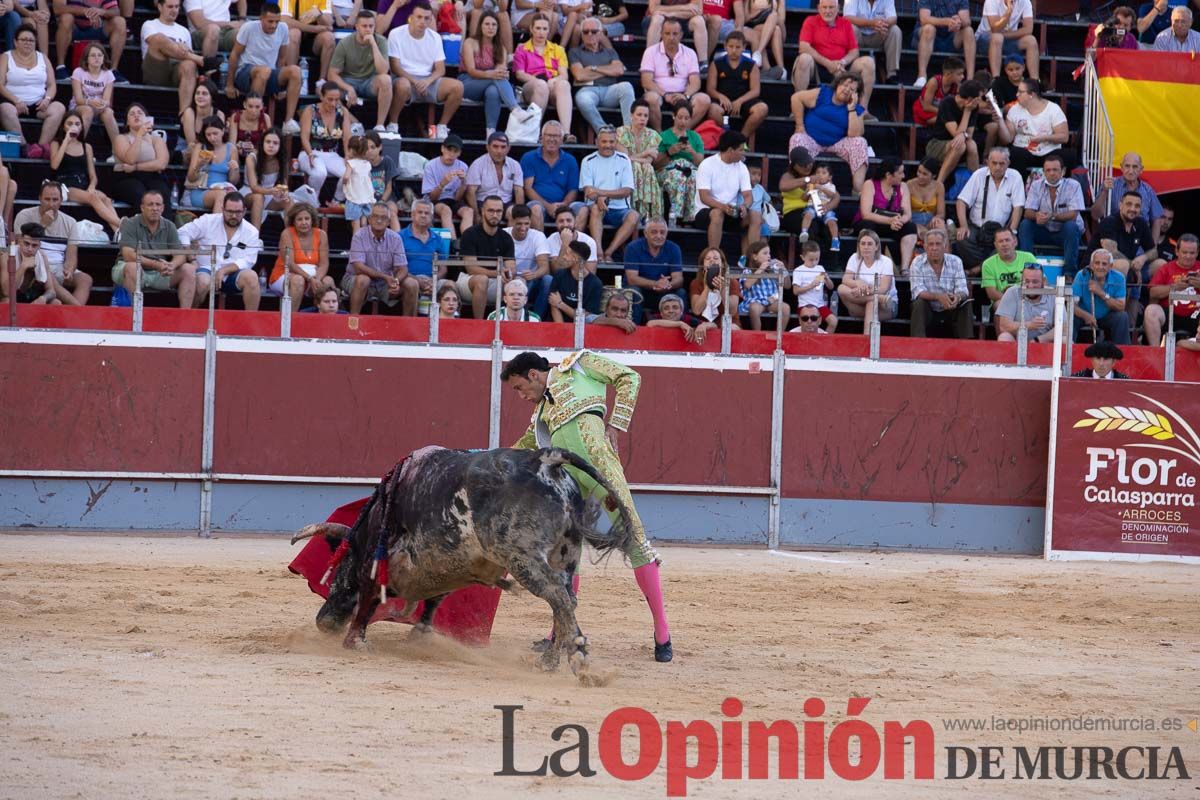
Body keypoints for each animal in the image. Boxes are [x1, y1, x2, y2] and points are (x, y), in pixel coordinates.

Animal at [289, 448, 633, 681]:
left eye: (336, 575)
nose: (323, 622)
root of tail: (545, 460)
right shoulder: (447, 565)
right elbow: (434, 599)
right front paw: (420, 635)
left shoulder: (377, 559)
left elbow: (369, 598)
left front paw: (355, 642)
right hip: (566, 555)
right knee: (566, 601)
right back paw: (555, 659)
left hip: (522, 558)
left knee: (559, 598)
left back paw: (574, 660)